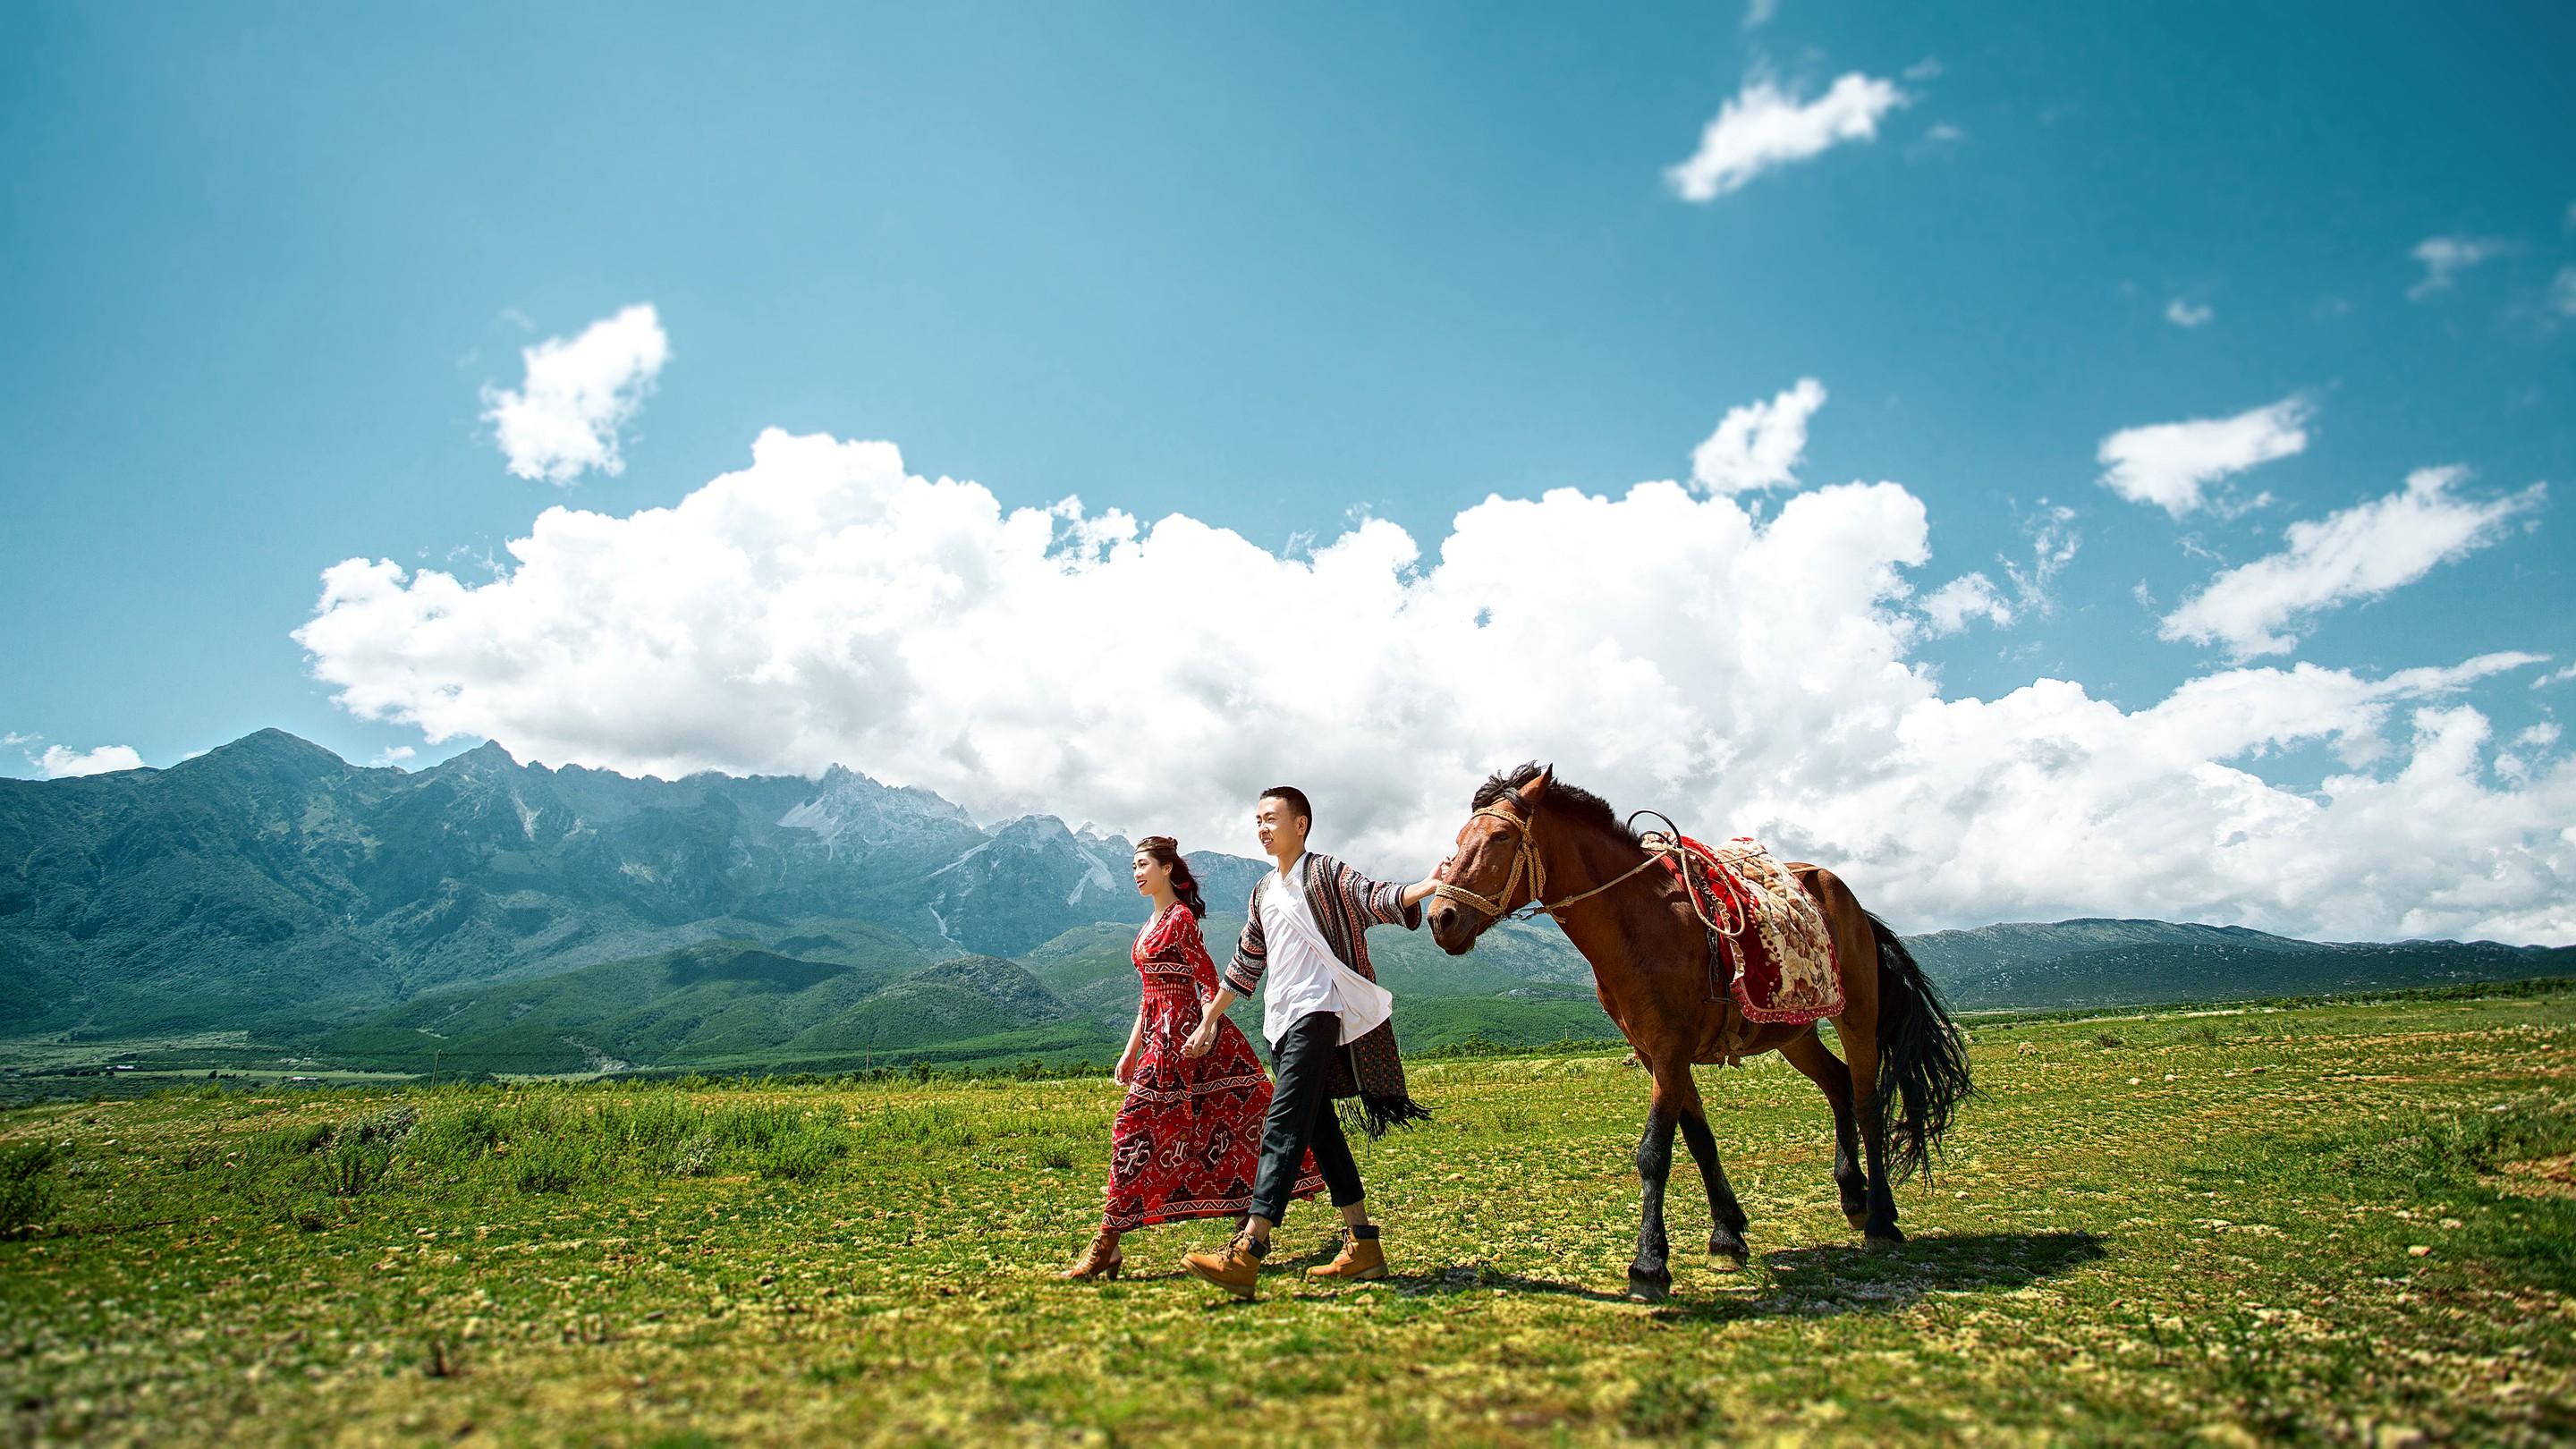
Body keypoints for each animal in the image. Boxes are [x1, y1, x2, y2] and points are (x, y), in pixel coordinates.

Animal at [1432, 763, 1968, 1289]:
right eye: (1460, 838)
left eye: (1501, 836)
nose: (1442, 917)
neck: (1639, 921)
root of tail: (1853, 905)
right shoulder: (1655, 1053)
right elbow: (1698, 1139)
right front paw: (1727, 1236)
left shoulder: (1670, 1050)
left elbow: (1654, 1152)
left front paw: (1649, 1263)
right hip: (1795, 1033)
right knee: (1838, 1085)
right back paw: (1853, 1196)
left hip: (1856, 1014)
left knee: (1867, 1100)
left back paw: (1880, 1218)